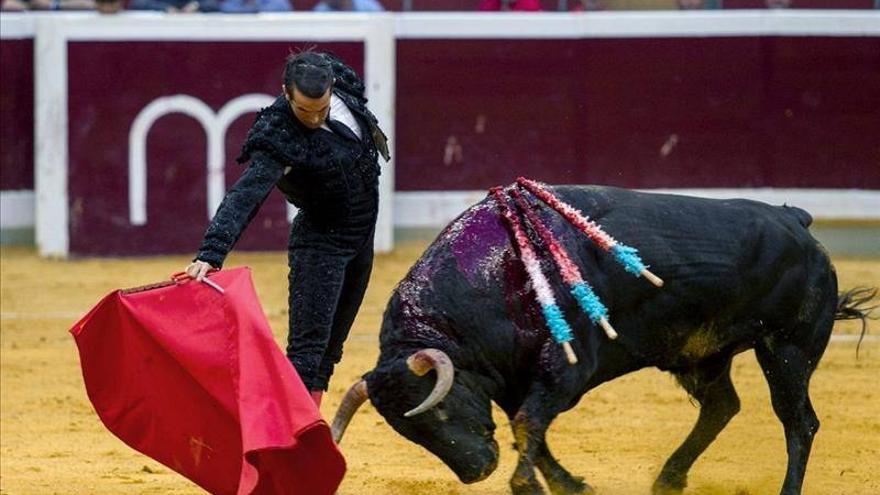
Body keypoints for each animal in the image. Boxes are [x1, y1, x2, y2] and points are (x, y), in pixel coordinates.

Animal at [330, 186, 872, 495]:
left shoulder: (566, 370)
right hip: (704, 353)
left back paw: (784, 489)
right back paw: (668, 479)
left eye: (439, 410)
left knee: (798, 422)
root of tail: (795, 220)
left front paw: (530, 487)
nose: (478, 471)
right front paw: (568, 485)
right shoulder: (514, 381)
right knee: (722, 406)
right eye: (408, 432)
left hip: (788, 350)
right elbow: (530, 431)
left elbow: (528, 425)